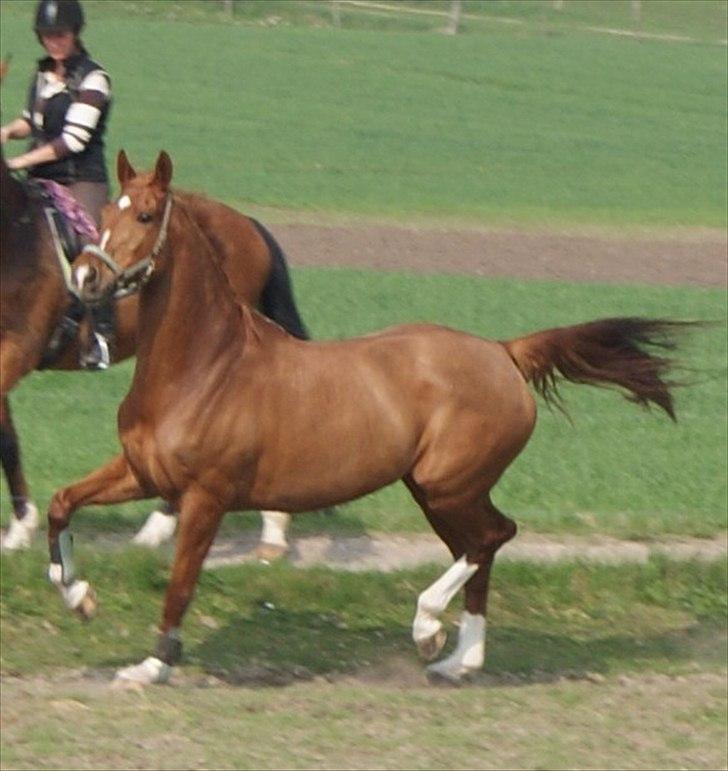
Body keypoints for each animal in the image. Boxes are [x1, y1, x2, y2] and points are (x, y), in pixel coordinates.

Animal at [49, 152, 688, 688]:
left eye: (146, 214)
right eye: (103, 213)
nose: (85, 278)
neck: (204, 369)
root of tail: (503, 353)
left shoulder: (207, 496)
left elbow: (181, 582)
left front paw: (152, 665)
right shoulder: (142, 472)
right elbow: (62, 503)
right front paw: (78, 595)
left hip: (447, 485)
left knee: (493, 537)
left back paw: (429, 627)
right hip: (438, 491)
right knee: (481, 547)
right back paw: (459, 659)